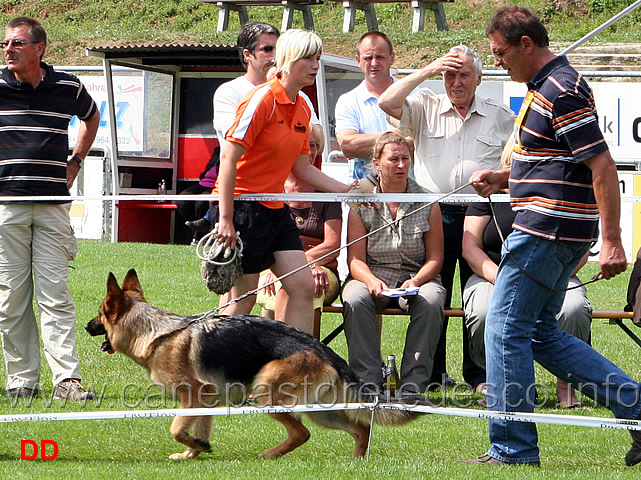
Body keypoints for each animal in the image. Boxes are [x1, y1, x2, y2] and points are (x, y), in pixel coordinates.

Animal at [85, 270, 424, 462]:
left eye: (100, 314)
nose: (87, 326)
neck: (156, 333)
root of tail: (323, 348)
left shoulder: (192, 397)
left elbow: (177, 428)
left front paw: (192, 445)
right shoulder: (207, 402)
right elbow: (200, 429)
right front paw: (195, 451)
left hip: (266, 392)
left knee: (302, 433)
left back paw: (269, 455)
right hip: (322, 410)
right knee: (360, 427)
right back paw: (357, 462)